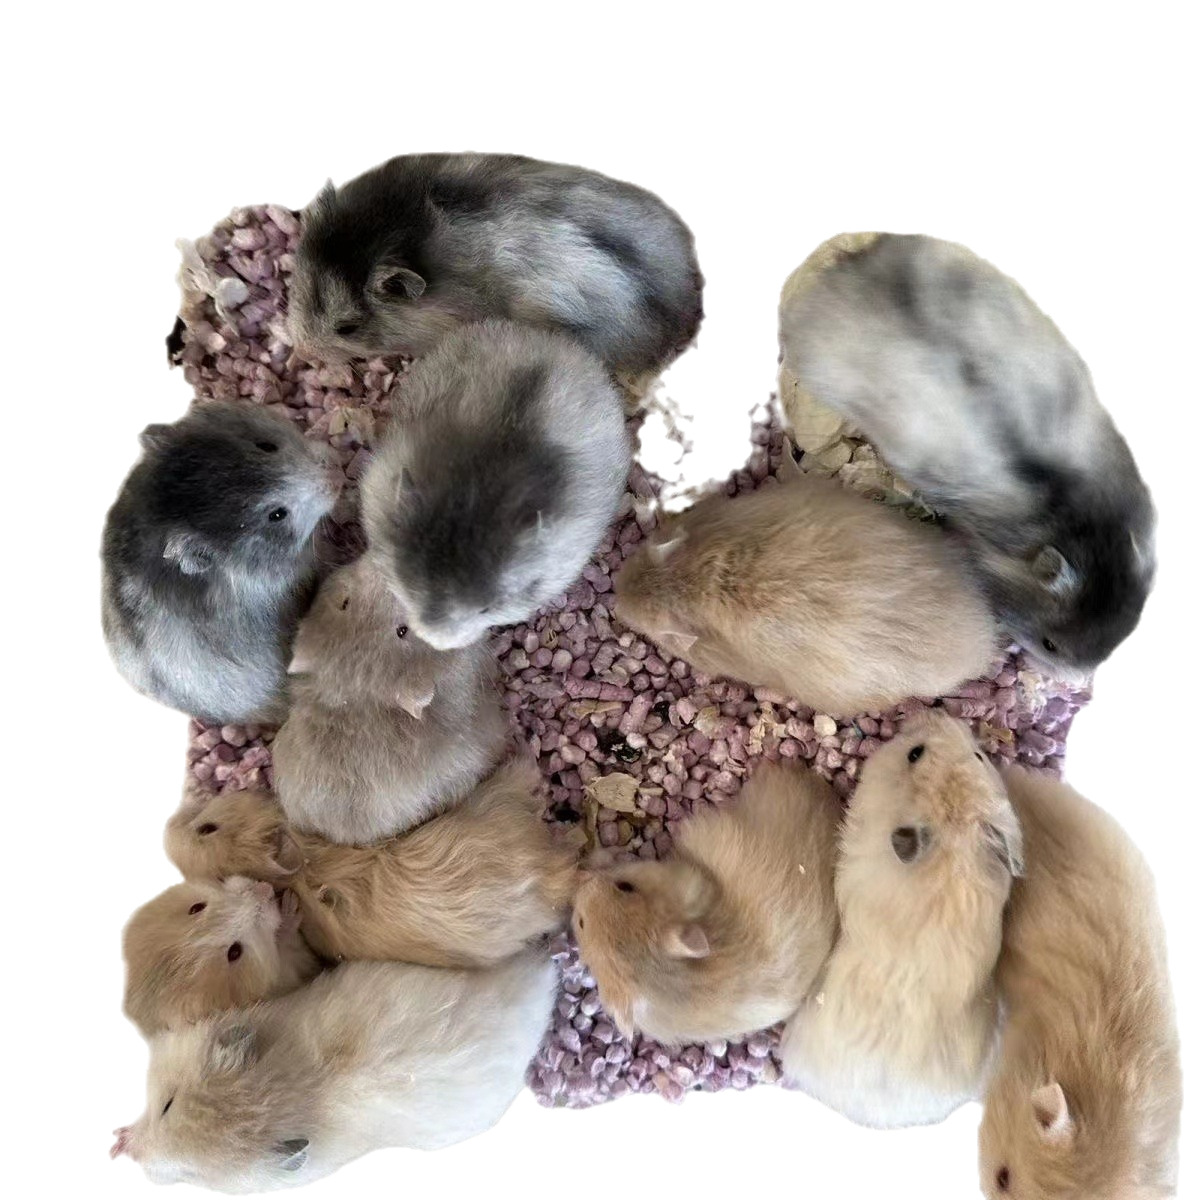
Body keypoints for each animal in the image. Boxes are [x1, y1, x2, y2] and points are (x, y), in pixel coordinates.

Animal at [112, 950, 556, 1191]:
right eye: (168, 1104)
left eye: (192, 1175)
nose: (136, 1155)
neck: (280, 1090)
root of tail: (542, 987)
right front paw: (119, 1141)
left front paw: (118, 1144)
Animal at [122, 876, 320, 1036]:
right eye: (234, 952)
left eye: (196, 907)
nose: (265, 888)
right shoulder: (287, 974)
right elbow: (290, 947)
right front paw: (291, 903)